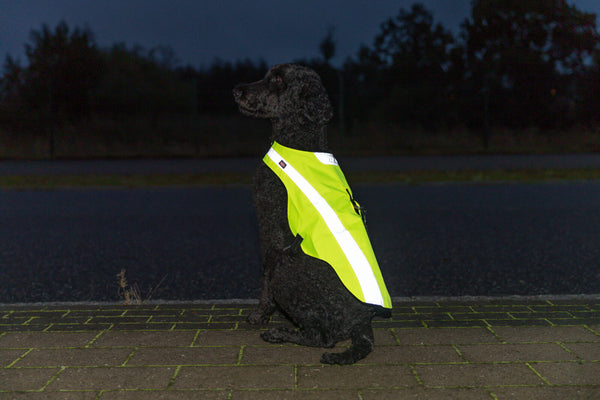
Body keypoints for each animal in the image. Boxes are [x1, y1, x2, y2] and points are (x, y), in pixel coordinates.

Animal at [232, 63, 392, 366]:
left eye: (278, 79)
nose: (237, 90)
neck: (299, 139)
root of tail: (362, 325)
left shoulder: (272, 233)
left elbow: (265, 279)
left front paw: (260, 316)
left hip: (289, 276)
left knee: (323, 337)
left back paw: (279, 333)